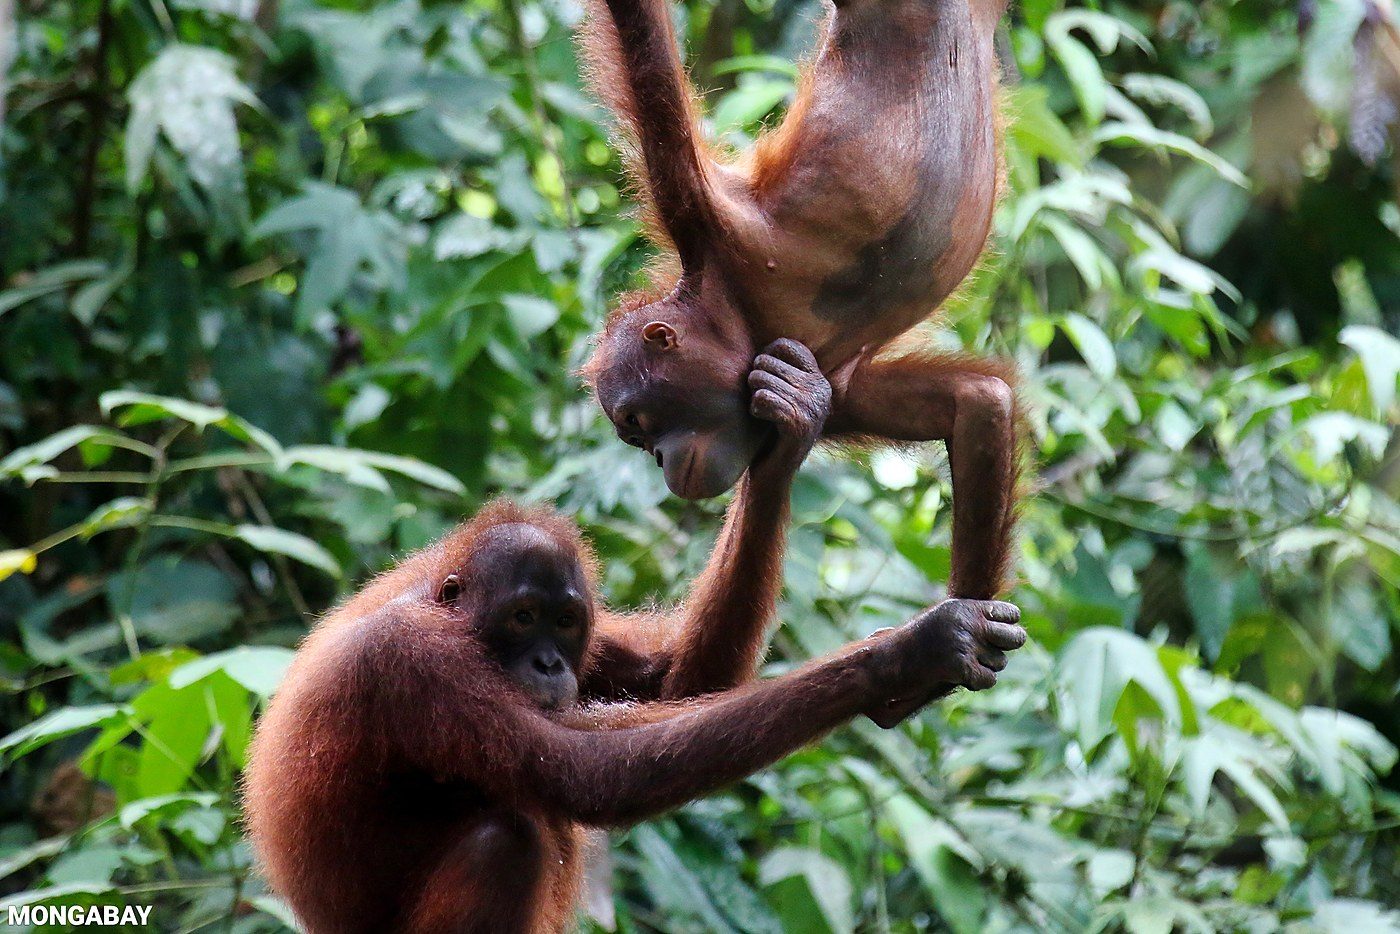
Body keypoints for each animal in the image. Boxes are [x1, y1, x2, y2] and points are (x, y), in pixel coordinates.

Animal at [243, 344, 1027, 932]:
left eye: (564, 622)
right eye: (522, 618)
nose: (550, 664)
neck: (445, 610)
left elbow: (677, 680)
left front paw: (789, 428)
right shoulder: (414, 663)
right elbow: (588, 772)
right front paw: (912, 653)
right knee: (505, 837)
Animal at [579, 0, 1020, 605]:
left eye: (638, 422)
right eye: (636, 442)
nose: (661, 459)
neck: (740, 319)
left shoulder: (703, 216)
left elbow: (644, 50)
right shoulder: (841, 393)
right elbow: (980, 403)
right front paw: (962, 625)